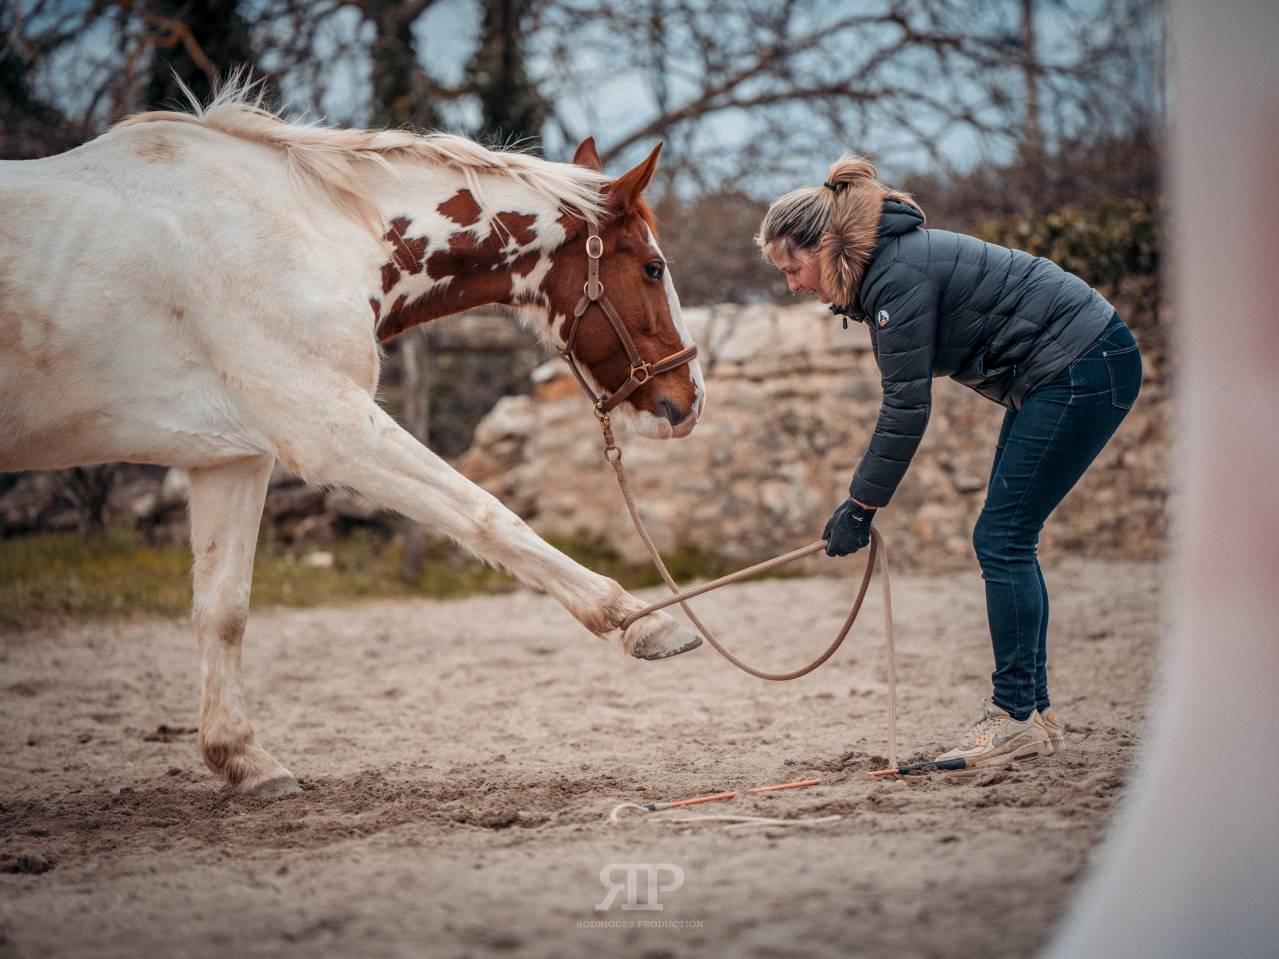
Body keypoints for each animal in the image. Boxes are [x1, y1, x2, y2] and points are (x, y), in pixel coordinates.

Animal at [0, 82, 706, 797]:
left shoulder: (233, 458)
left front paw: (244, 760)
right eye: (653, 268)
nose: (688, 402)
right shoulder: (331, 426)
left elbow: (223, 610)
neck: (311, 231)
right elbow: (487, 514)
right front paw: (642, 620)